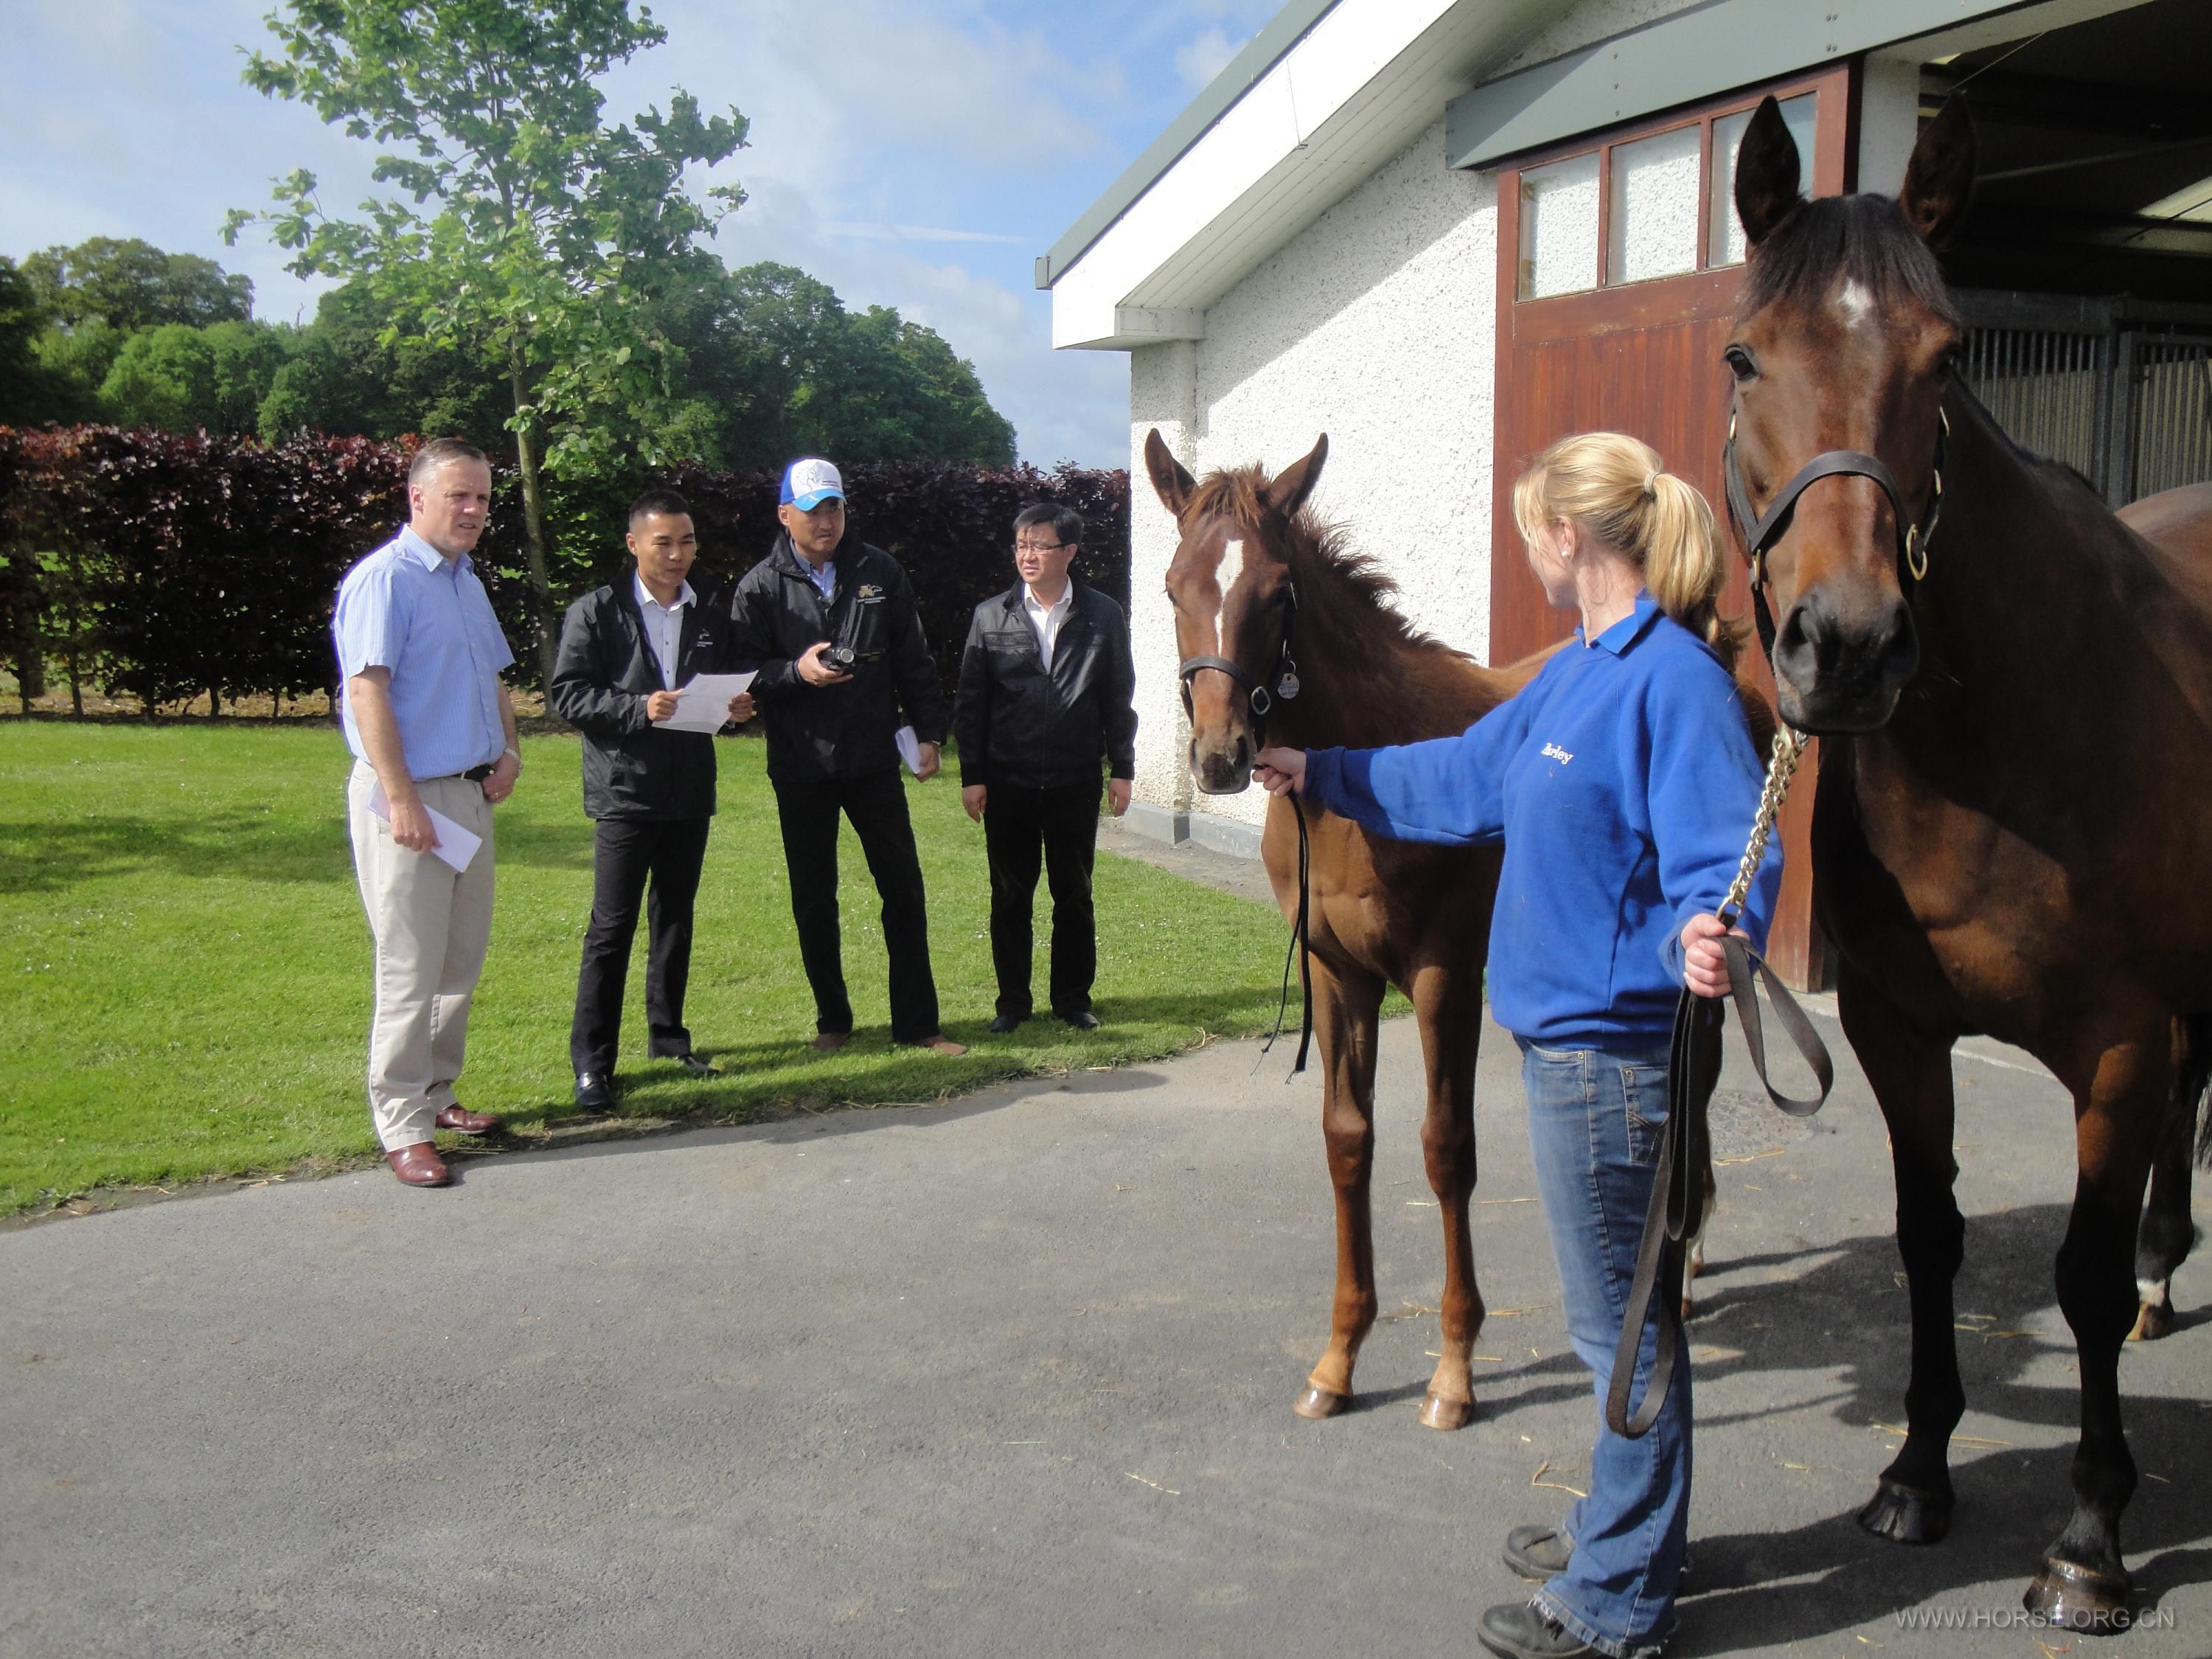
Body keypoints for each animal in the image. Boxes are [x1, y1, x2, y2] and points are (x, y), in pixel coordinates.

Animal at [1725, 97, 2212, 1628]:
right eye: (1745, 354)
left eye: (1944, 361)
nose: (1849, 644)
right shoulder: (1898, 1026)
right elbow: (1927, 1235)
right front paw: (1916, 1475)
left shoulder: (2119, 1043)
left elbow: (2079, 1275)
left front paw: (2090, 1539)